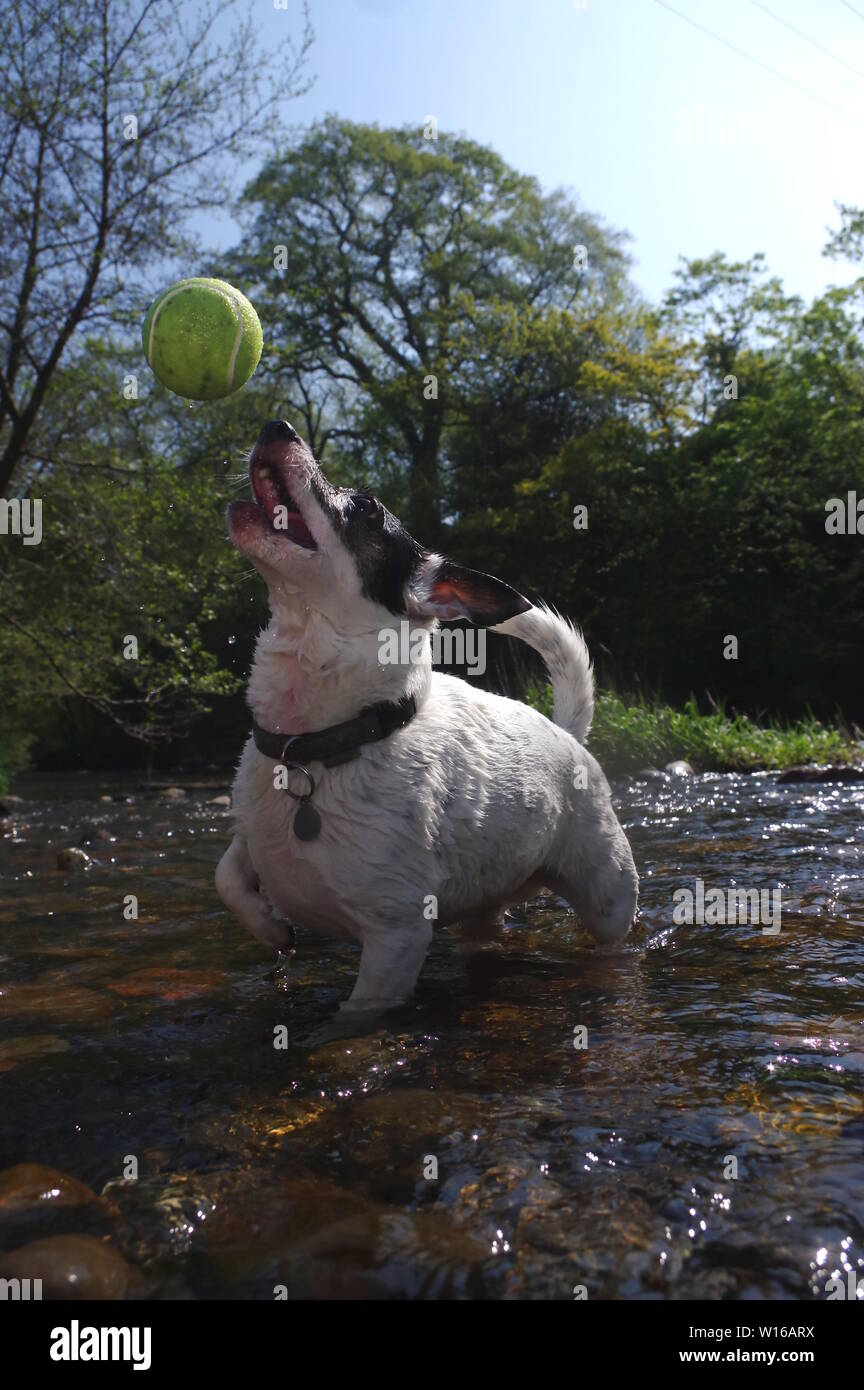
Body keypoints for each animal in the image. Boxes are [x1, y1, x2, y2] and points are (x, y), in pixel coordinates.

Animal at [216, 419, 636, 1023]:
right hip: (486, 905)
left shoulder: (395, 940)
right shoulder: (251, 842)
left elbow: (359, 1014)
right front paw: (272, 929)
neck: (314, 744)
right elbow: (226, 877)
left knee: (612, 933)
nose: (279, 425)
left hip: (608, 897)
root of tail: (566, 733)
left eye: (366, 509)